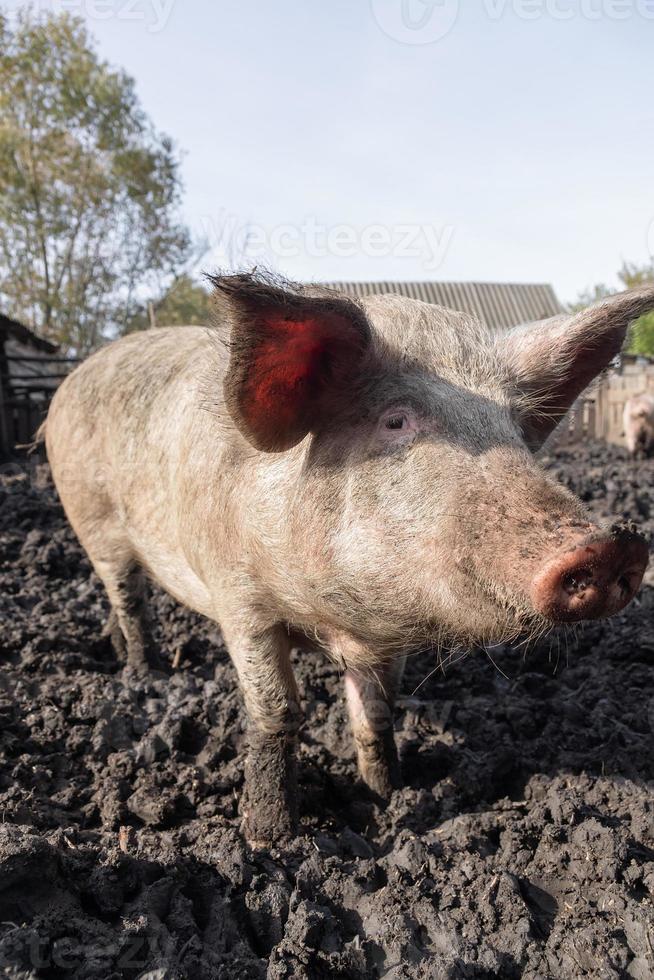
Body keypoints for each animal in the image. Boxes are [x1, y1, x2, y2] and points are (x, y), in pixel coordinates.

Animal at [42, 274, 654, 844]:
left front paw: (386, 797)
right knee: (127, 594)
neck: (337, 622)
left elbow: (377, 711)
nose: (610, 545)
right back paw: (143, 671)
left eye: (515, 431)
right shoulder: (239, 598)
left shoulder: (390, 633)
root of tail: (69, 383)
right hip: (92, 520)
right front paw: (271, 839)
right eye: (395, 421)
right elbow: (277, 712)